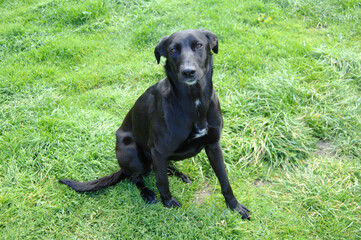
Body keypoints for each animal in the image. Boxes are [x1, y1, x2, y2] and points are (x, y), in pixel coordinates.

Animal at [59, 29, 250, 219]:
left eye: (199, 45)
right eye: (173, 50)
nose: (188, 72)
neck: (194, 100)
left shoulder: (213, 145)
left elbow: (224, 180)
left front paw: (235, 206)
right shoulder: (158, 150)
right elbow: (162, 182)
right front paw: (168, 202)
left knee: (163, 167)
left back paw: (180, 174)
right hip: (130, 151)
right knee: (135, 177)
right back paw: (147, 193)